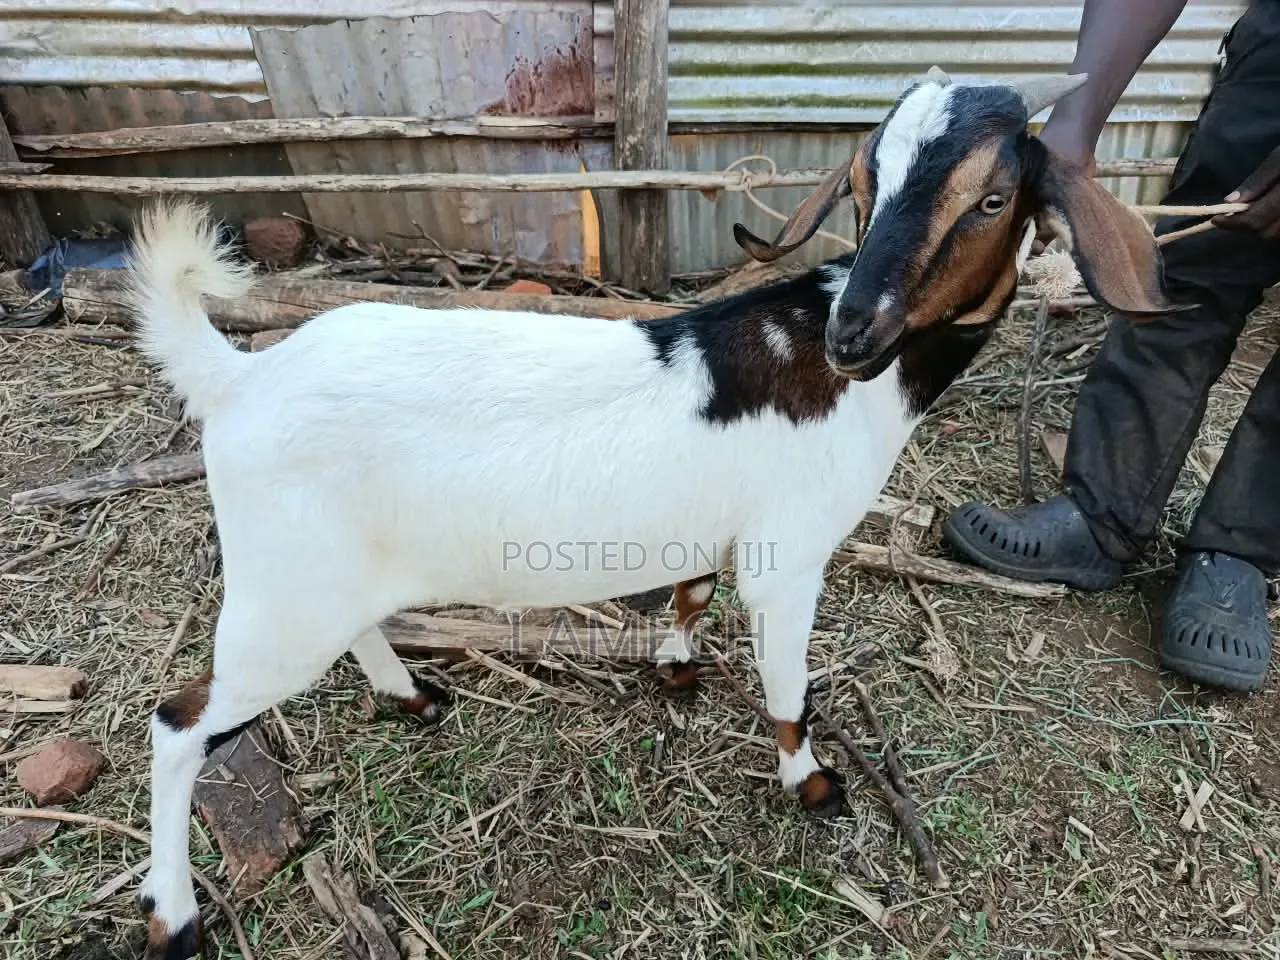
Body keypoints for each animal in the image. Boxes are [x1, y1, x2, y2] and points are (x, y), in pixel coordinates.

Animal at [126, 68, 1188, 959]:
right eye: (861, 185)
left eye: (992, 200)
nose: (855, 334)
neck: (853, 381)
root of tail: (239, 378)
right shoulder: (791, 557)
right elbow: (790, 685)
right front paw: (810, 782)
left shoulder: (714, 528)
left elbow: (691, 591)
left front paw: (675, 667)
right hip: (279, 597)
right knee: (178, 724)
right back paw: (174, 916)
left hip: (319, 577)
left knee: (353, 629)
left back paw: (411, 695)